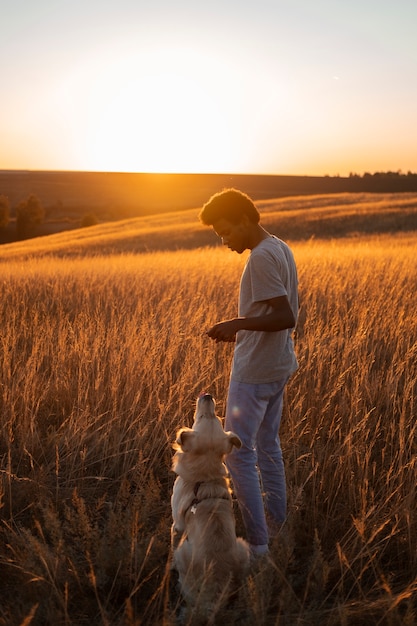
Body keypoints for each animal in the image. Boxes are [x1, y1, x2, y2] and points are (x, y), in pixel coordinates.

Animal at [170, 392, 249, 616]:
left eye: (203, 418)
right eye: (218, 418)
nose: (207, 395)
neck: (205, 475)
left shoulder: (177, 524)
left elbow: (173, 540)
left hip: (184, 551)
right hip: (243, 546)